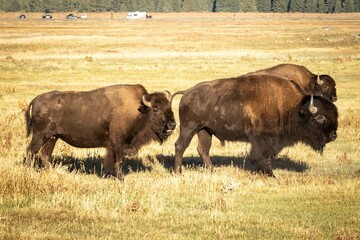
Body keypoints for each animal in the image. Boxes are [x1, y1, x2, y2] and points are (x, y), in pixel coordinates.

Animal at [24, 84, 176, 180]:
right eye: (156, 109)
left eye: (169, 107)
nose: (172, 124)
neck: (139, 109)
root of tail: (35, 100)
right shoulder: (118, 143)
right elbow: (119, 161)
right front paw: (121, 179)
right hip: (40, 136)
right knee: (31, 151)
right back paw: (30, 172)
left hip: (52, 137)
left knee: (45, 154)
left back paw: (51, 172)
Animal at [173, 75, 338, 176]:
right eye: (320, 117)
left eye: (335, 115)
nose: (333, 135)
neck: (292, 107)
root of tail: (187, 92)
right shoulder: (262, 139)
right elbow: (261, 156)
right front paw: (270, 174)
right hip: (189, 128)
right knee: (180, 146)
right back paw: (178, 172)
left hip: (205, 130)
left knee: (203, 149)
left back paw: (213, 171)